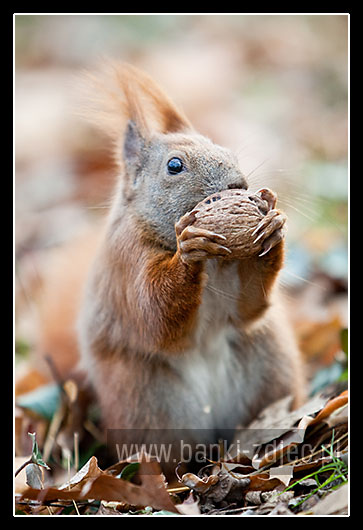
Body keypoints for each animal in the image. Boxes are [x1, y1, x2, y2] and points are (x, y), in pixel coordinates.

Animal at [42, 62, 304, 474]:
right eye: (175, 166)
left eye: (225, 149)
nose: (240, 184)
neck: (216, 262)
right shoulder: (126, 263)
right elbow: (156, 317)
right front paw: (188, 249)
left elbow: (248, 308)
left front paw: (273, 226)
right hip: (150, 408)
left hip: (270, 374)